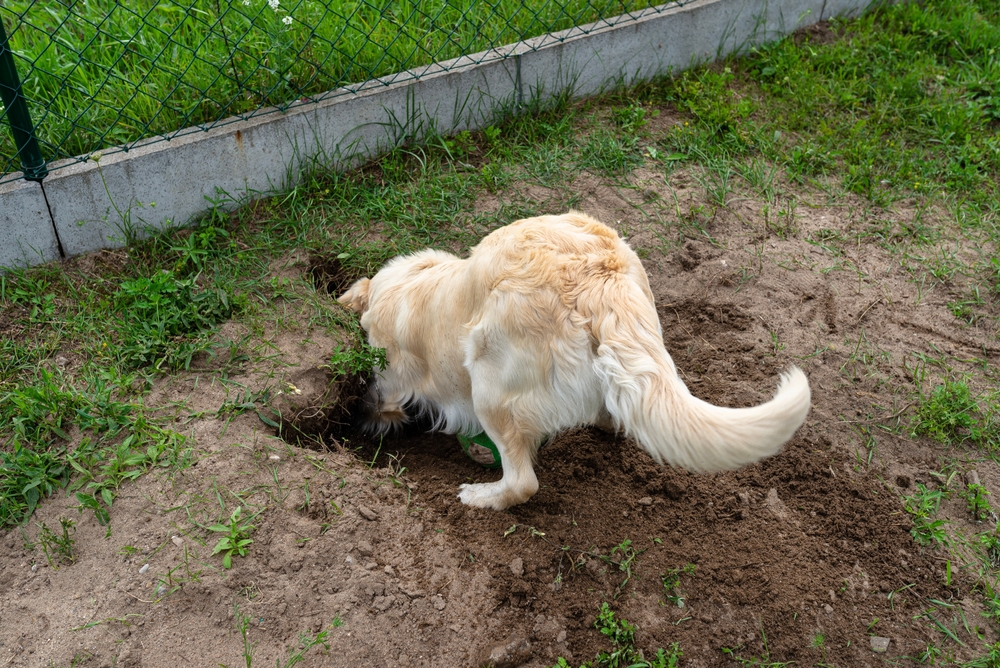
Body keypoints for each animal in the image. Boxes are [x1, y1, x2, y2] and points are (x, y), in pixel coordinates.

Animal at [340, 211, 808, 508]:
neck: (410, 283)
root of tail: (599, 276)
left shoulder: (394, 379)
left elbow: (383, 397)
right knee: (612, 417)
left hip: (489, 383)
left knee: (523, 482)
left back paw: (481, 497)